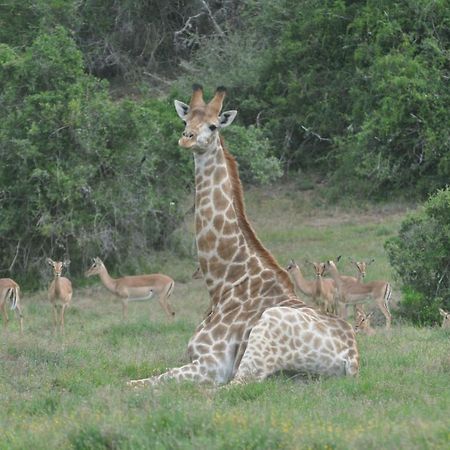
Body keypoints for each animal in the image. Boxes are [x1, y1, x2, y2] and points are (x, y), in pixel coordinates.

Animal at [127, 85, 358, 386]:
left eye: (213, 126)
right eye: (185, 121)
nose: (187, 139)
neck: (224, 284)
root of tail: (351, 359)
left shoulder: (212, 364)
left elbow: (139, 383)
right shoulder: (191, 357)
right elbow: (149, 374)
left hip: (263, 339)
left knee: (233, 387)